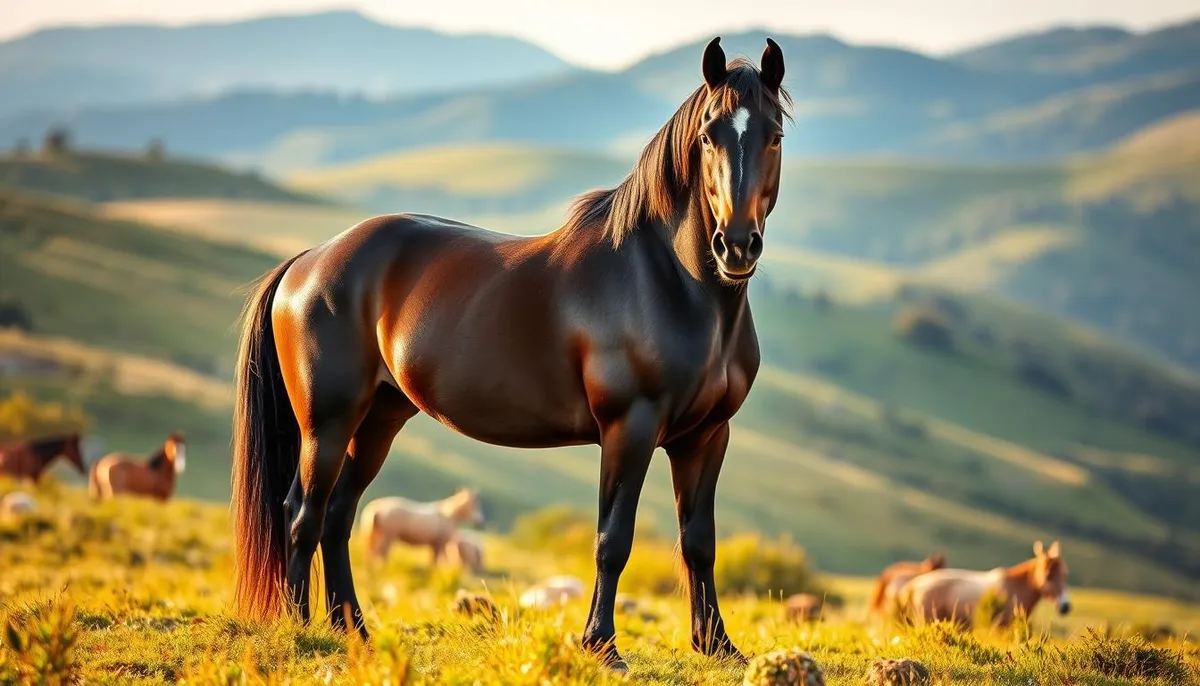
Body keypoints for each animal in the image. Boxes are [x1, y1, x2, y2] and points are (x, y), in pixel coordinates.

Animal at [230, 36, 789, 670]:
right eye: (708, 135)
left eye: (773, 134)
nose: (736, 246)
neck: (668, 283)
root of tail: (309, 261)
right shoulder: (630, 428)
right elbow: (613, 539)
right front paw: (602, 647)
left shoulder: (706, 436)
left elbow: (698, 541)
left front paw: (718, 646)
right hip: (325, 422)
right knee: (303, 512)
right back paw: (303, 630)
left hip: (378, 419)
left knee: (337, 516)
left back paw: (356, 632)